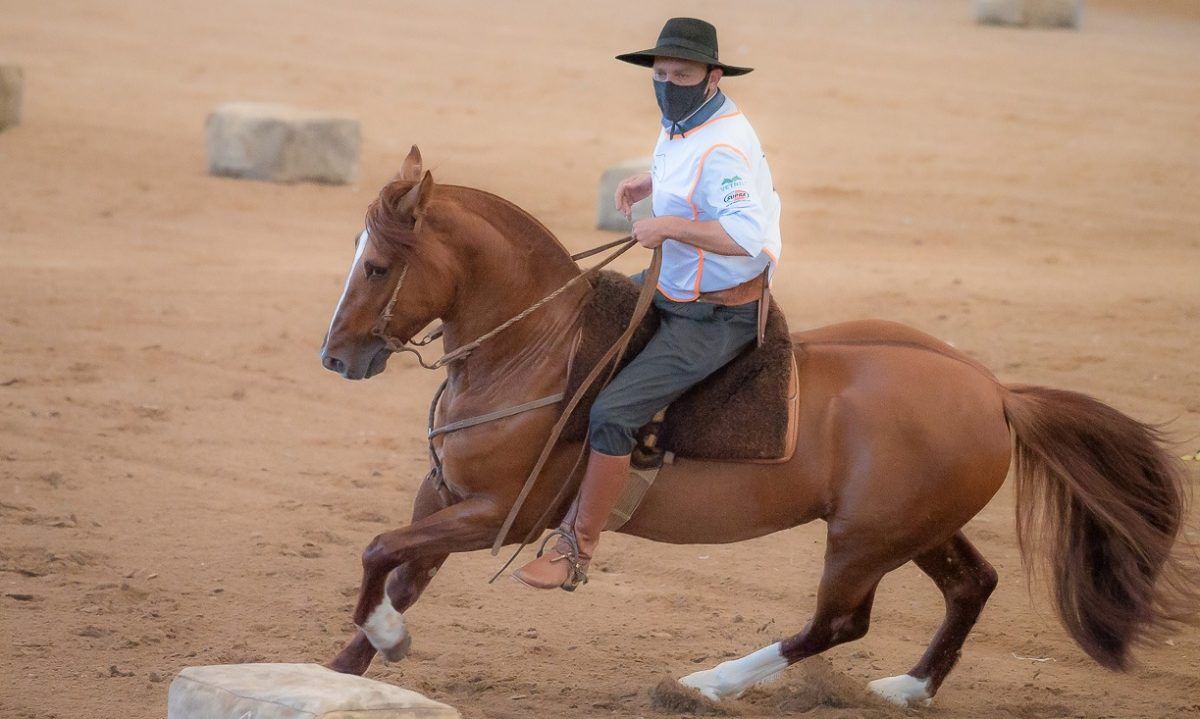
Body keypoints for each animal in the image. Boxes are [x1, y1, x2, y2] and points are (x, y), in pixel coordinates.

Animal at [316, 147, 1190, 710]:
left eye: (379, 265)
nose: (335, 355)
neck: (536, 348)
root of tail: (995, 390)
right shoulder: (445, 494)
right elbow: (400, 570)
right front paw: (350, 661)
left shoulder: (502, 514)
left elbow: (380, 552)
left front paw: (385, 637)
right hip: (914, 527)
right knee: (972, 584)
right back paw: (908, 687)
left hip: (864, 540)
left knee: (838, 621)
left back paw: (706, 682)